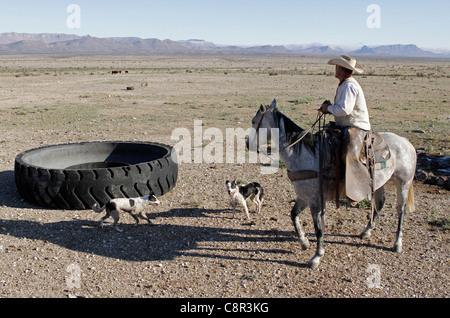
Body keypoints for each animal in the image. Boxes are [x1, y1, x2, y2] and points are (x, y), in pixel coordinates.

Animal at [248, 99, 416, 268]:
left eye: (254, 121)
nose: (247, 143)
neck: (306, 155)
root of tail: (406, 142)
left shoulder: (316, 200)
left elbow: (319, 229)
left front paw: (317, 256)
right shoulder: (304, 196)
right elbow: (294, 215)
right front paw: (304, 242)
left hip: (403, 182)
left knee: (401, 210)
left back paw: (397, 243)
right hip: (379, 183)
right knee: (379, 203)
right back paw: (366, 232)